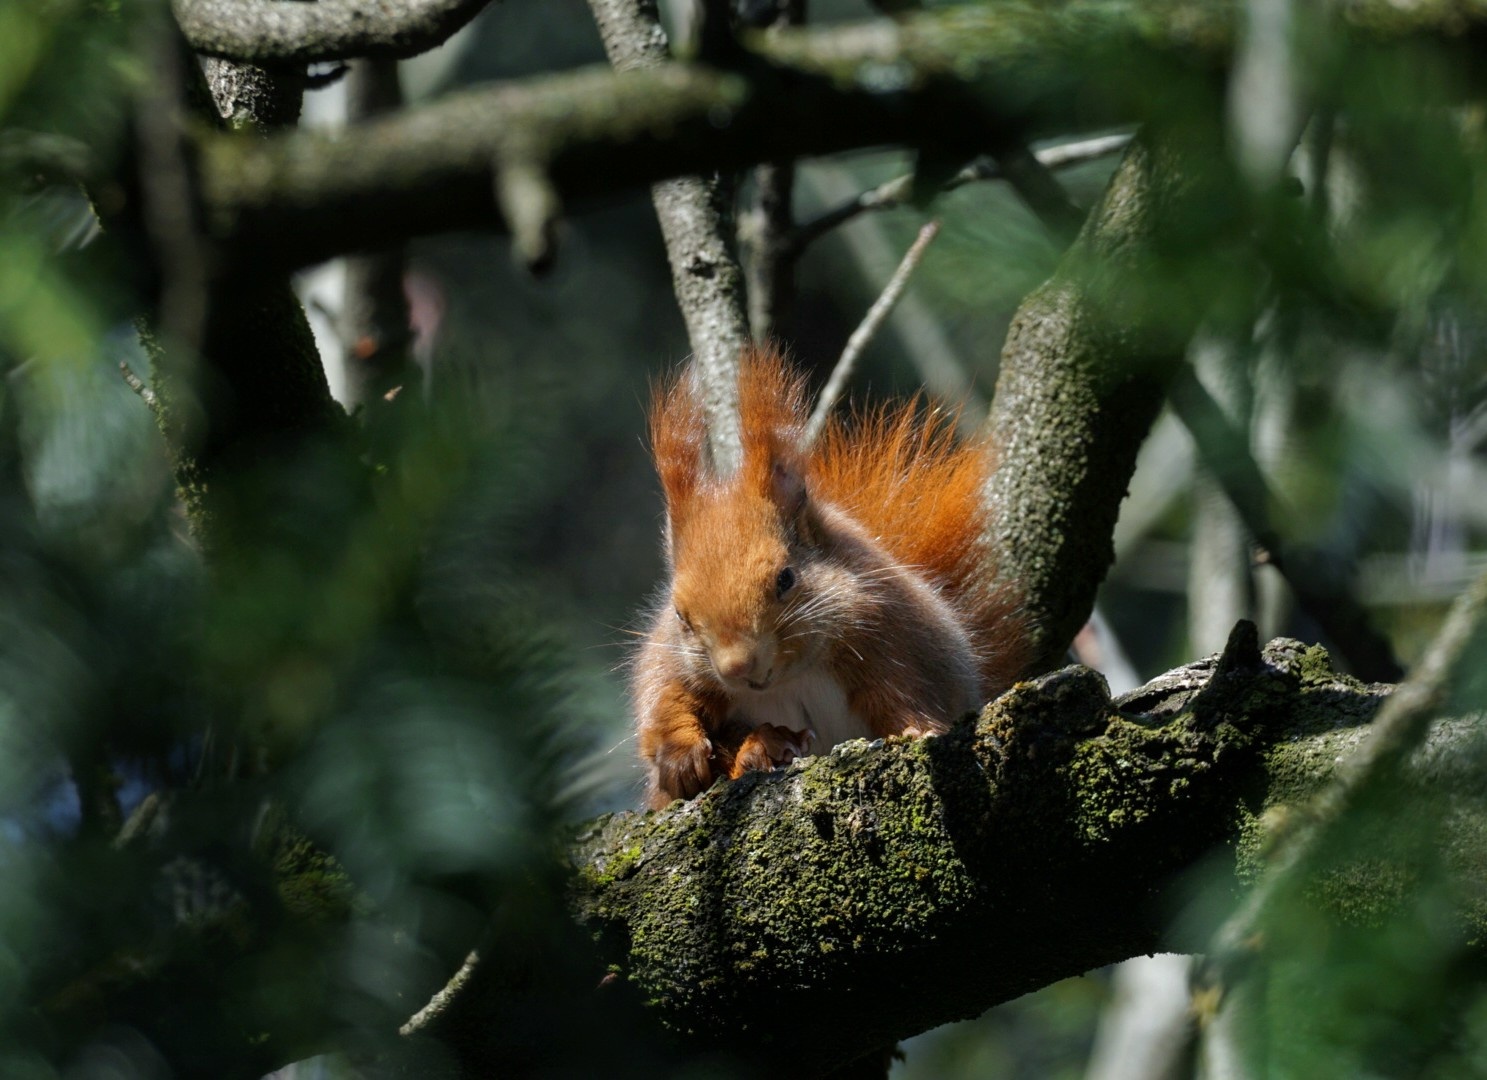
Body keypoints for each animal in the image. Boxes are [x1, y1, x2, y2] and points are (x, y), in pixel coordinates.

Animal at [632, 348, 1026, 810]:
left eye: (786, 579)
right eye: (680, 615)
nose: (737, 666)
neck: (792, 676)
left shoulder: (892, 635)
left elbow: (906, 695)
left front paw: (917, 730)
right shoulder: (672, 660)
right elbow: (665, 700)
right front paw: (679, 754)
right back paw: (761, 747)